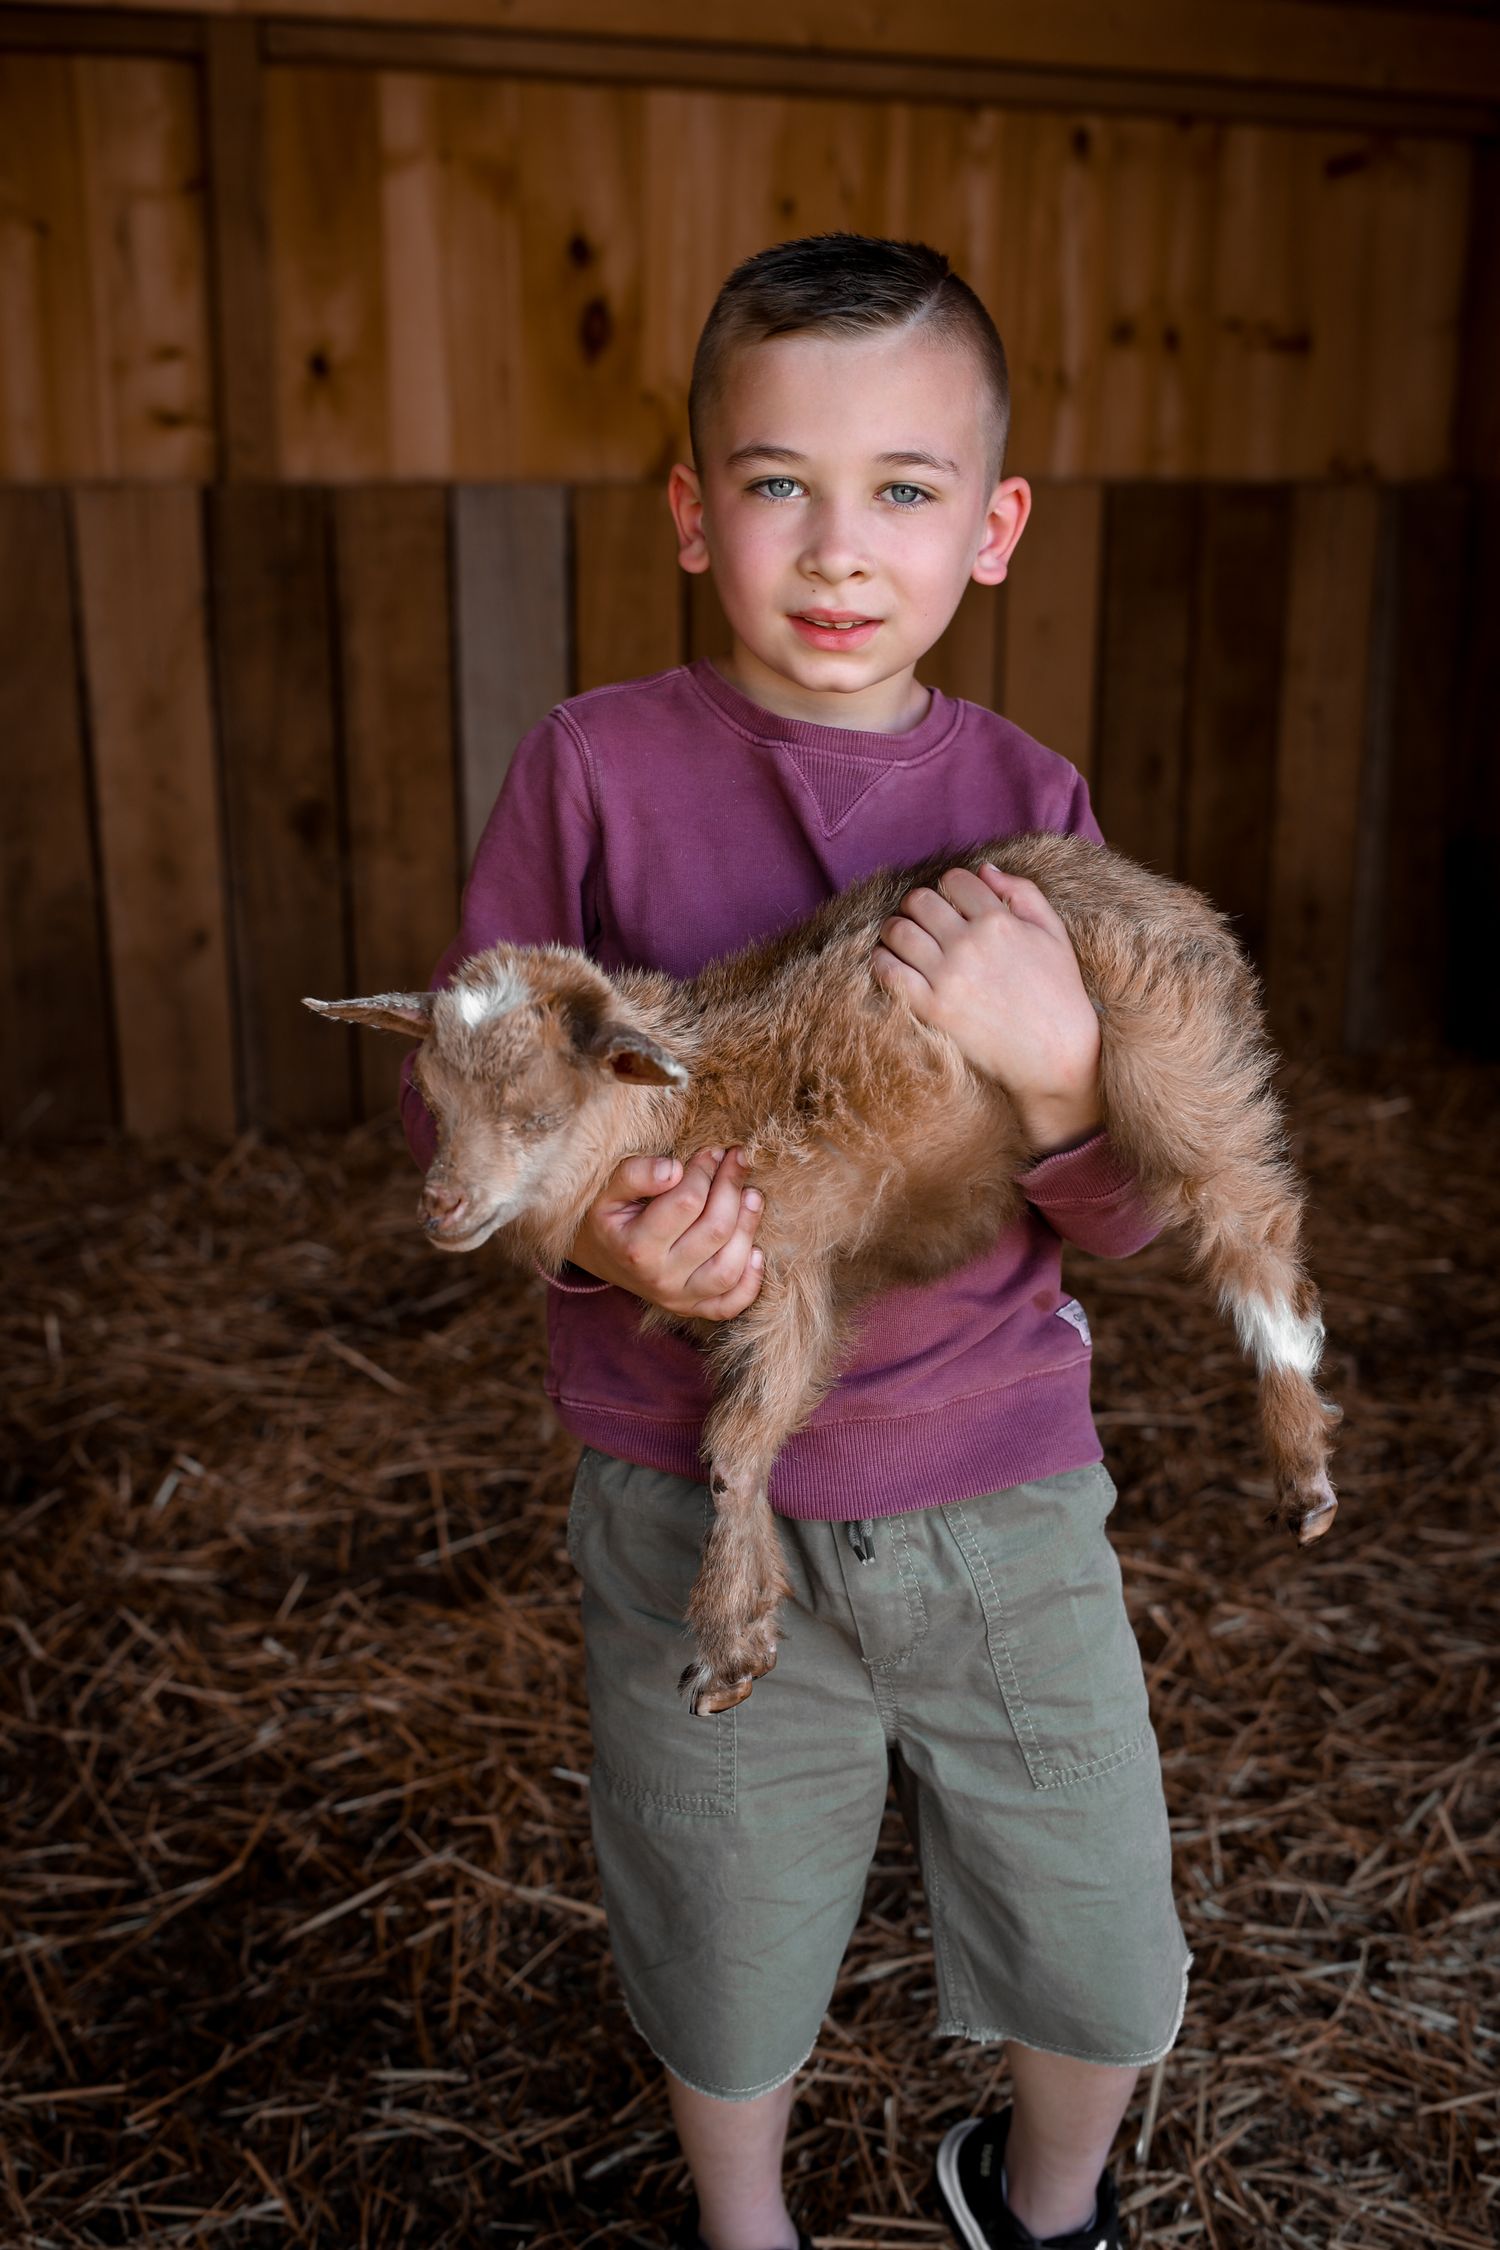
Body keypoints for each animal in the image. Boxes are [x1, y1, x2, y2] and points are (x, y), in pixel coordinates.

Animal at [307, 833, 1339, 1716]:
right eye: (431, 1100)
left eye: (535, 1115)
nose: (441, 1207)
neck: (681, 1106)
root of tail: (1172, 897)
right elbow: (747, 1444)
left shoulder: (787, 1265)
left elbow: (734, 1447)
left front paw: (727, 1646)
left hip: (1177, 1060)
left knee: (1252, 1231)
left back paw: (1304, 1473)